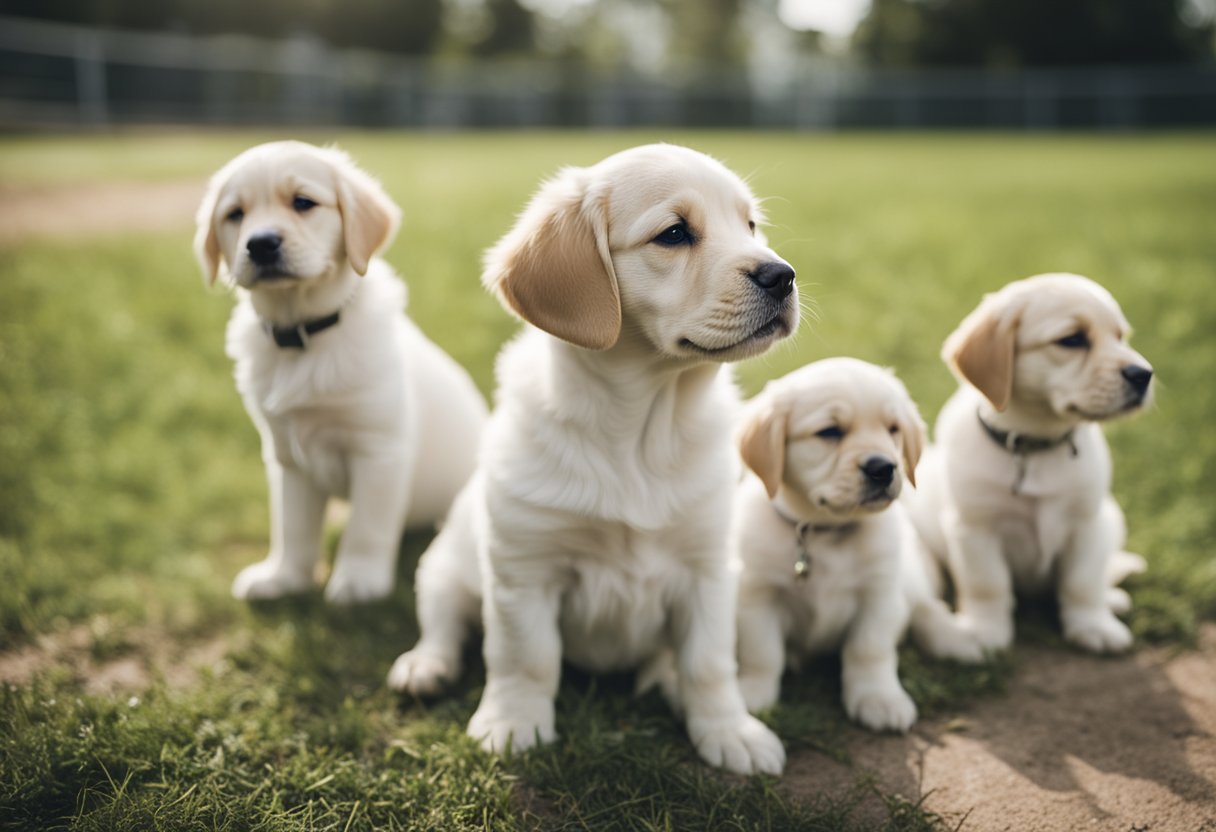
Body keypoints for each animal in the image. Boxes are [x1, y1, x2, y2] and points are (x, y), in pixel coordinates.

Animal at [389, 145, 802, 778]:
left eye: (750, 225)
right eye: (674, 233)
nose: (783, 275)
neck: (640, 431)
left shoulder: (708, 569)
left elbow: (710, 663)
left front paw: (728, 730)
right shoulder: (524, 571)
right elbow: (525, 657)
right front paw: (514, 723)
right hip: (442, 569)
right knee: (444, 624)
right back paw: (424, 666)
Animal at [724, 355, 982, 729]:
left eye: (893, 429)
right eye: (830, 432)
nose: (883, 468)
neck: (824, 531)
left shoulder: (880, 593)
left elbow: (869, 649)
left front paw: (879, 698)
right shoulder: (758, 595)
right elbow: (763, 652)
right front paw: (753, 693)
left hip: (909, 574)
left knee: (924, 606)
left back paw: (957, 639)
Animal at [909, 272, 1152, 651]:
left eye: (1120, 337)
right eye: (1072, 339)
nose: (1144, 375)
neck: (1034, 444)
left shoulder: (1088, 522)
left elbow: (1082, 582)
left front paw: (1092, 625)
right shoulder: (975, 528)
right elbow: (987, 585)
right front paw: (985, 631)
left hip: (1113, 518)